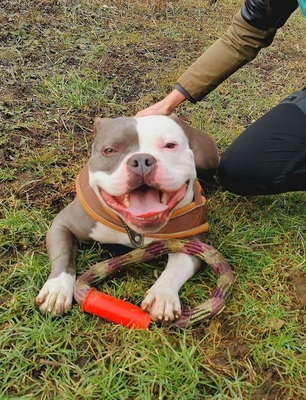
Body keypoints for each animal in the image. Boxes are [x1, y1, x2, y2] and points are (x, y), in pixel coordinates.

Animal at [35, 115, 219, 322]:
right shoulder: (63, 224)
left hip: (207, 159)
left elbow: (175, 269)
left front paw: (162, 296)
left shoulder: (191, 242)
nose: (141, 160)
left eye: (170, 145)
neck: (133, 228)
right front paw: (57, 289)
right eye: (109, 150)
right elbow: (63, 254)